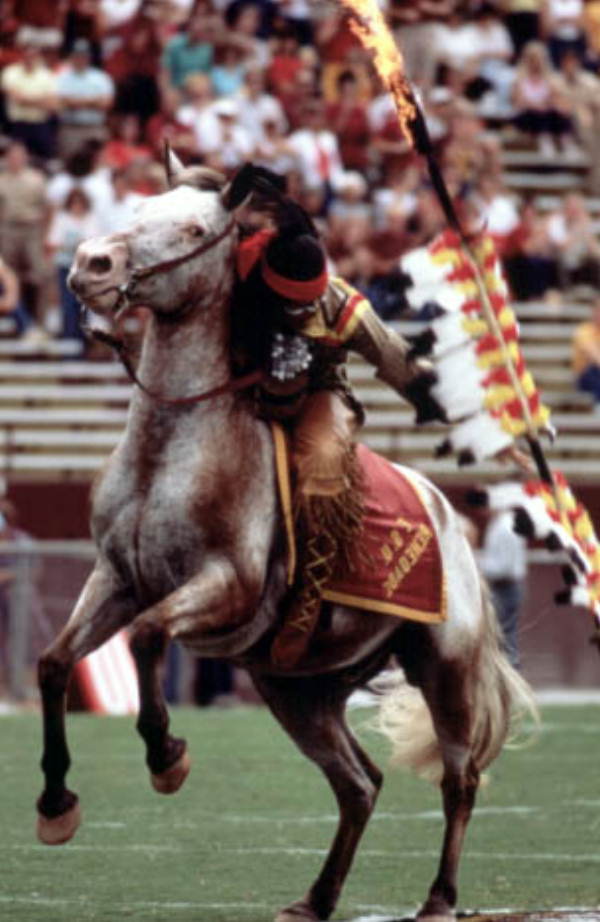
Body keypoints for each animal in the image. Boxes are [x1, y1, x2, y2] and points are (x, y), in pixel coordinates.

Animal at [36, 158, 536, 920]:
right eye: (141, 207)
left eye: (195, 229)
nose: (92, 264)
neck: (170, 452)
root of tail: (449, 516)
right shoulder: (115, 579)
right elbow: (55, 664)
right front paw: (56, 803)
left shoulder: (226, 585)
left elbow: (147, 638)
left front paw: (166, 755)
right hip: (297, 692)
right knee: (358, 784)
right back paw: (315, 897)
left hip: (444, 666)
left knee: (460, 780)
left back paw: (438, 898)